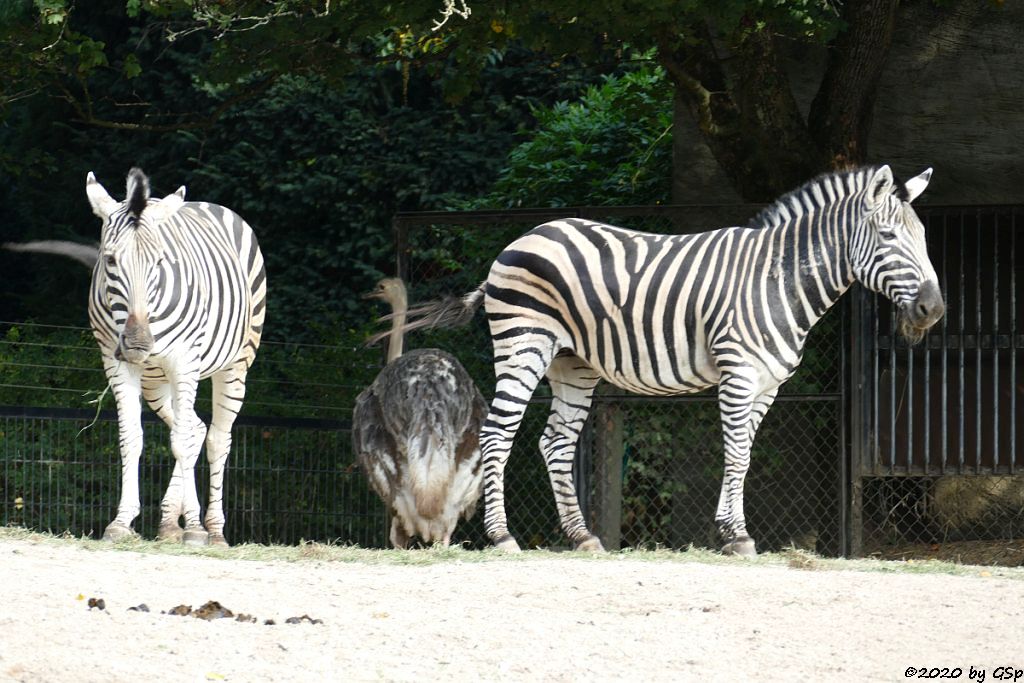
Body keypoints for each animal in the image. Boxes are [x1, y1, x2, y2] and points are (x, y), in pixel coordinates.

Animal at [85, 167, 266, 548]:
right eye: (110, 260)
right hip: (155, 381)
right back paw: (170, 522)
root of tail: (209, 204)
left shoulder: (185, 362)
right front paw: (121, 521)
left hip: (235, 365)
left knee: (216, 438)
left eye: (159, 262)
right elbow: (131, 438)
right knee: (196, 427)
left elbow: (180, 441)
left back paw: (213, 528)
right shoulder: (115, 361)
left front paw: (195, 528)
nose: (139, 343)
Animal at [397, 163, 942, 557]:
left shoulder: (768, 385)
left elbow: (744, 454)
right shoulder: (738, 372)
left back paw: (582, 537)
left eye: (924, 240)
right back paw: (503, 537)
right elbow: (737, 453)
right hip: (524, 343)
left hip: (573, 363)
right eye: (889, 239)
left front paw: (733, 532)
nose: (933, 310)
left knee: (555, 442)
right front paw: (736, 535)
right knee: (497, 434)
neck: (778, 277)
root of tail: (522, 238)